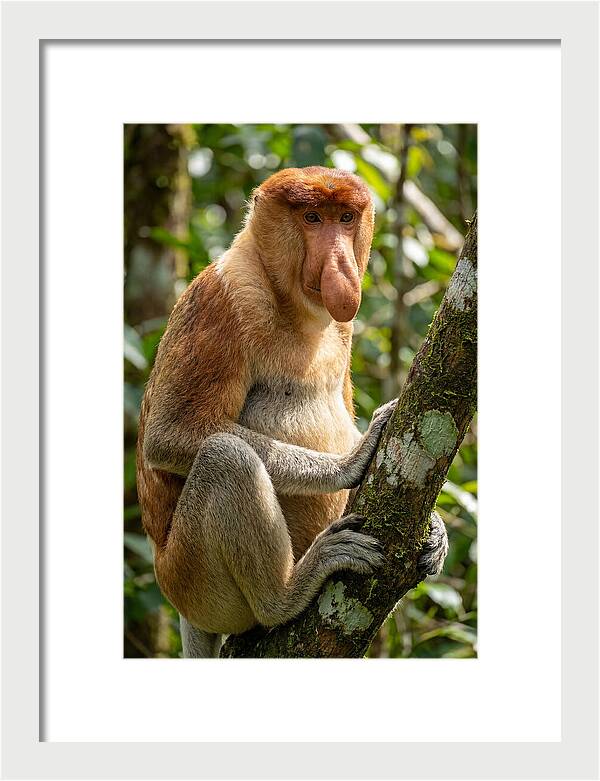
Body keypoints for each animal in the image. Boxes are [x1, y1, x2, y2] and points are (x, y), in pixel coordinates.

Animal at [136, 166, 448, 658]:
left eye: (345, 217)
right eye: (312, 218)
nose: (340, 265)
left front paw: (436, 529)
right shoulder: (224, 299)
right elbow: (170, 434)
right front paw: (351, 461)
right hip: (191, 580)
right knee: (226, 457)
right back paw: (287, 593)